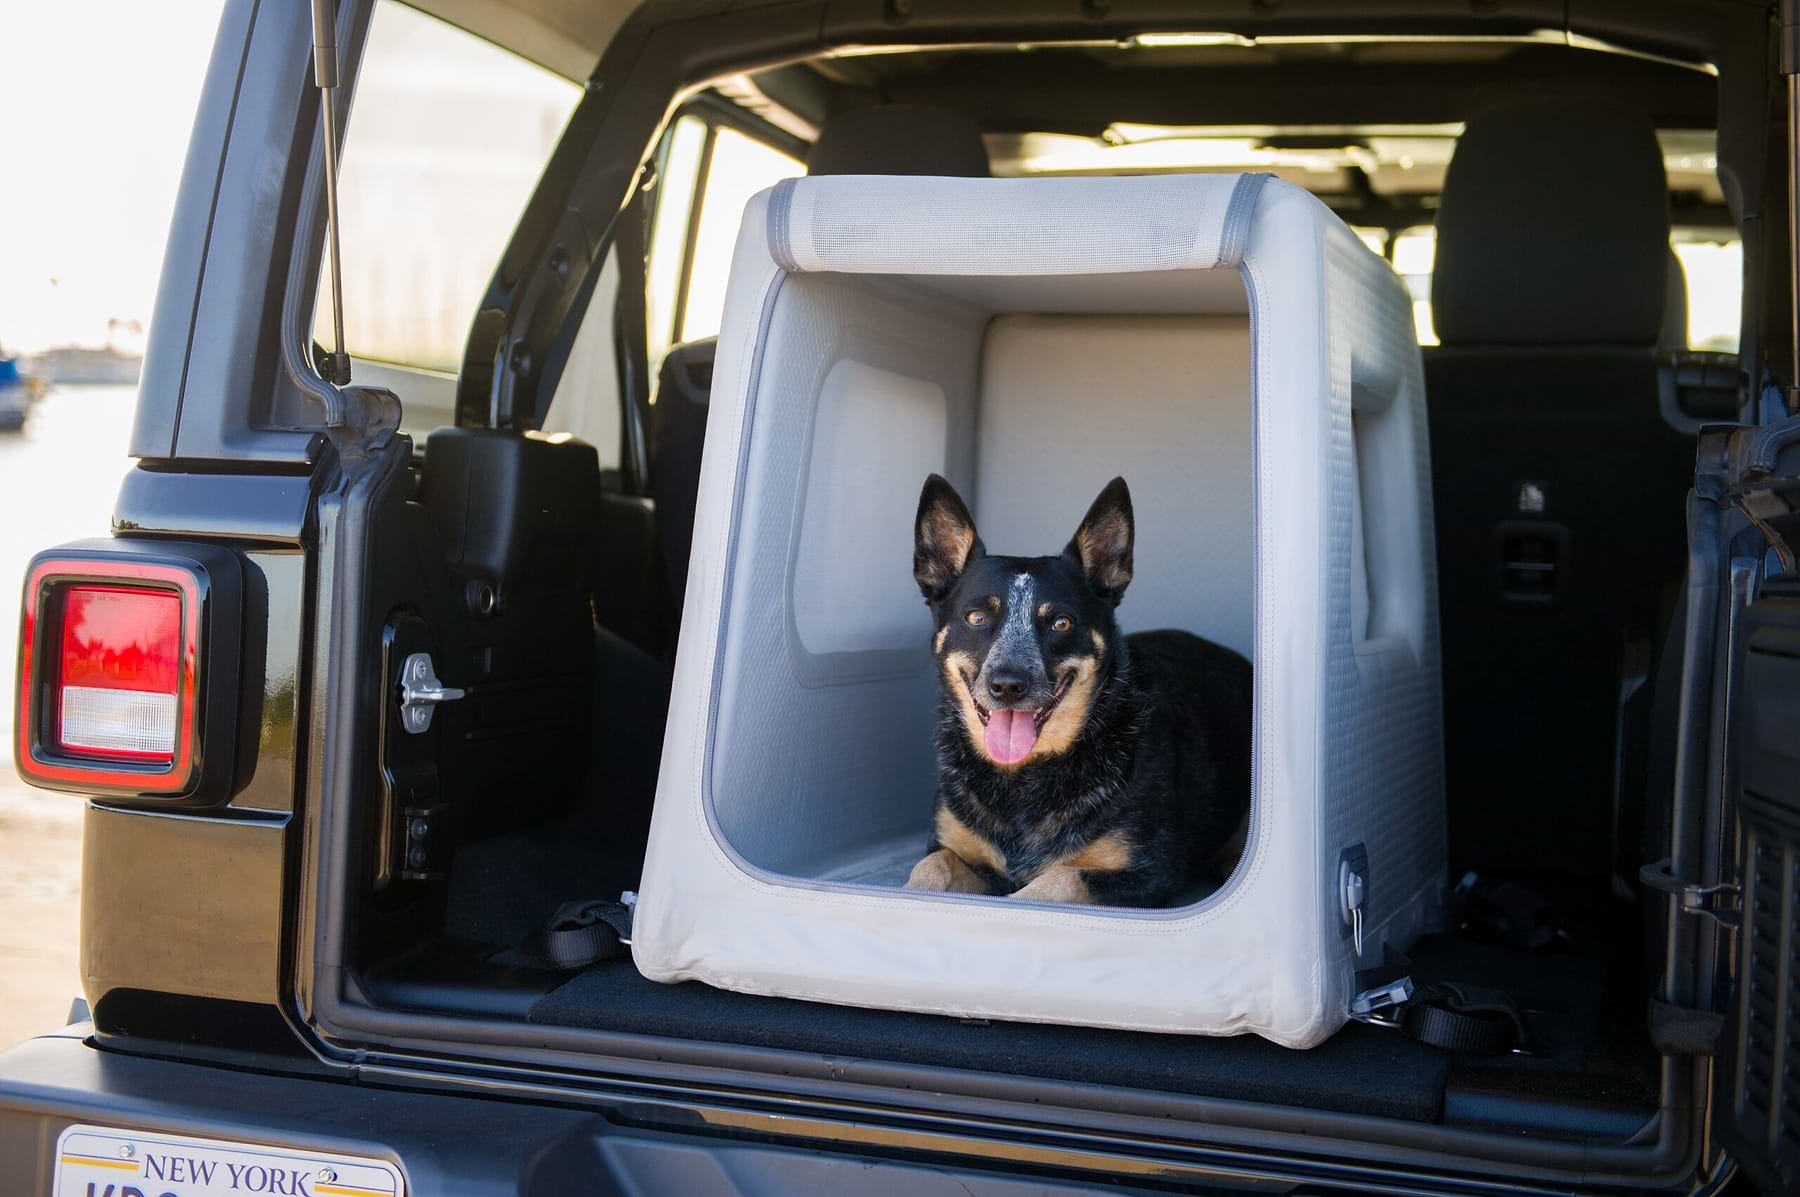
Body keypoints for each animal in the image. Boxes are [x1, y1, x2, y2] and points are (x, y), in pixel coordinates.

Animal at [900, 475, 1252, 907]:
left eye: (1062, 623)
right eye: (976, 617)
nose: (1008, 685)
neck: (1021, 779)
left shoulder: (1147, 874)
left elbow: (1059, 879)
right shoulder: (957, 851)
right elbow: (932, 866)